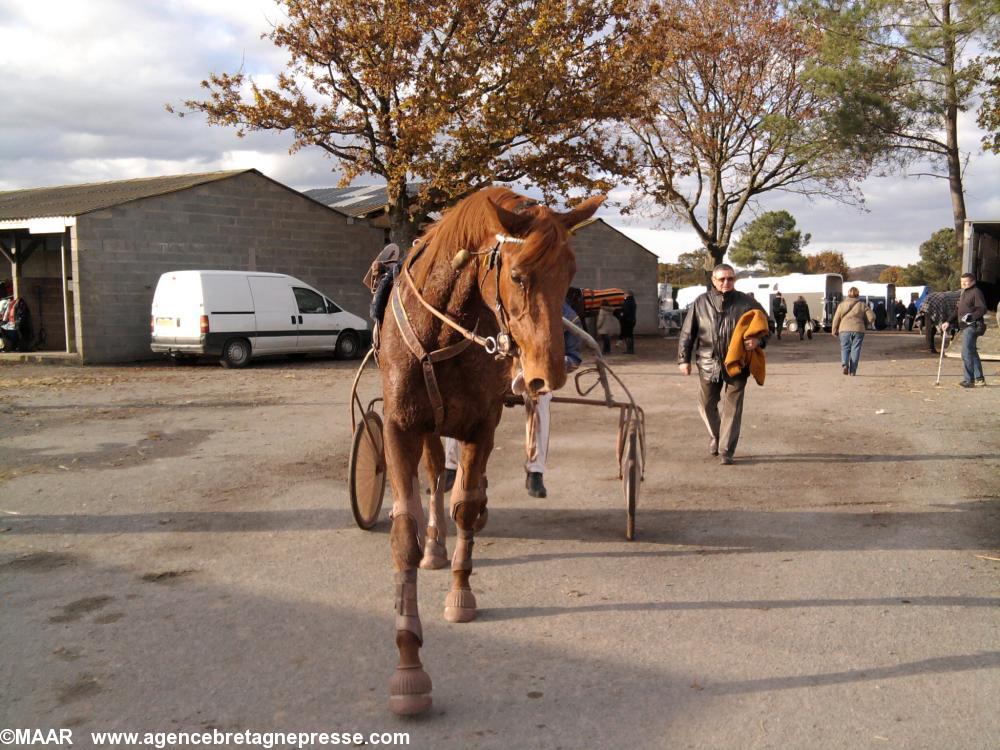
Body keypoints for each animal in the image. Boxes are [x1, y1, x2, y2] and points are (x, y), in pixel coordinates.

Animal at [378, 185, 600, 712]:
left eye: (571, 275)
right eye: (518, 275)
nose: (548, 373)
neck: (441, 332)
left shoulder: (482, 425)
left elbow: (465, 504)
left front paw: (461, 594)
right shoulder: (400, 428)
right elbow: (406, 530)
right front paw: (409, 665)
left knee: (464, 489)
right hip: (429, 428)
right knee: (435, 476)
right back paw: (435, 547)